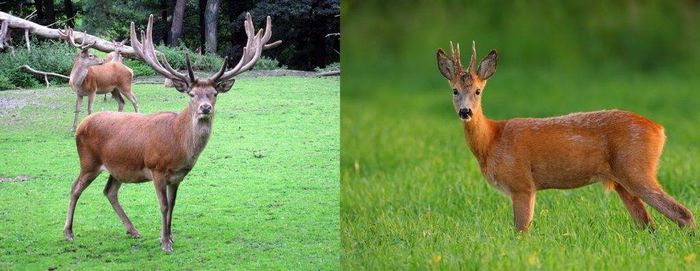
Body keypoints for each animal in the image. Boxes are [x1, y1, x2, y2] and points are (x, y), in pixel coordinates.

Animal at [63, 13, 282, 253]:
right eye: (192, 94)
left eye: (214, 93)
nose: (206, 108)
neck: (179, 144)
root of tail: (82, 125)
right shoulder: (157, 169)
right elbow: (164, 205)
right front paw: (165, 243)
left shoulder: (178, 175)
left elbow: (174, 205)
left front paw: (169, 236)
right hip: (89, 161)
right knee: (74, 188)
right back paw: (69, 232)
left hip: (117, 167)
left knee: (109, 191)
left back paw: (133, 230)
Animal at [438, 41, 696, 233]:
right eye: (455, 90)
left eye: (478, 91)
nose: (465, 111)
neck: (492, 140)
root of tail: (659, 129)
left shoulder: (522, 183)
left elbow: (521, 231)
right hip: (622, 181)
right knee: (647, 225)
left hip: (636, 169)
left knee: (682, 213)